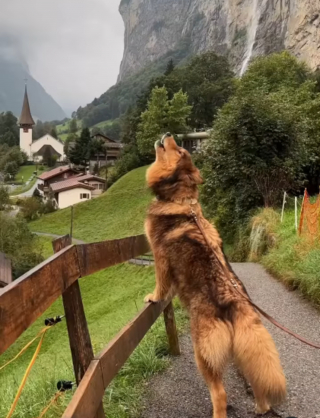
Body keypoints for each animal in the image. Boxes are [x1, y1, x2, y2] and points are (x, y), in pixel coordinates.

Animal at [144, 134, 286, 418]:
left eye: (180, 149)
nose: (168, 134)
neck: (179, 201)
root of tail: (234, 301)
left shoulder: (159, 257)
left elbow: (161, 285)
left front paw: (153, 297)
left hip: (203, 352)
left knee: (219, 393)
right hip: (245, 347)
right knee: (256, 379)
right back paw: (261, 407)